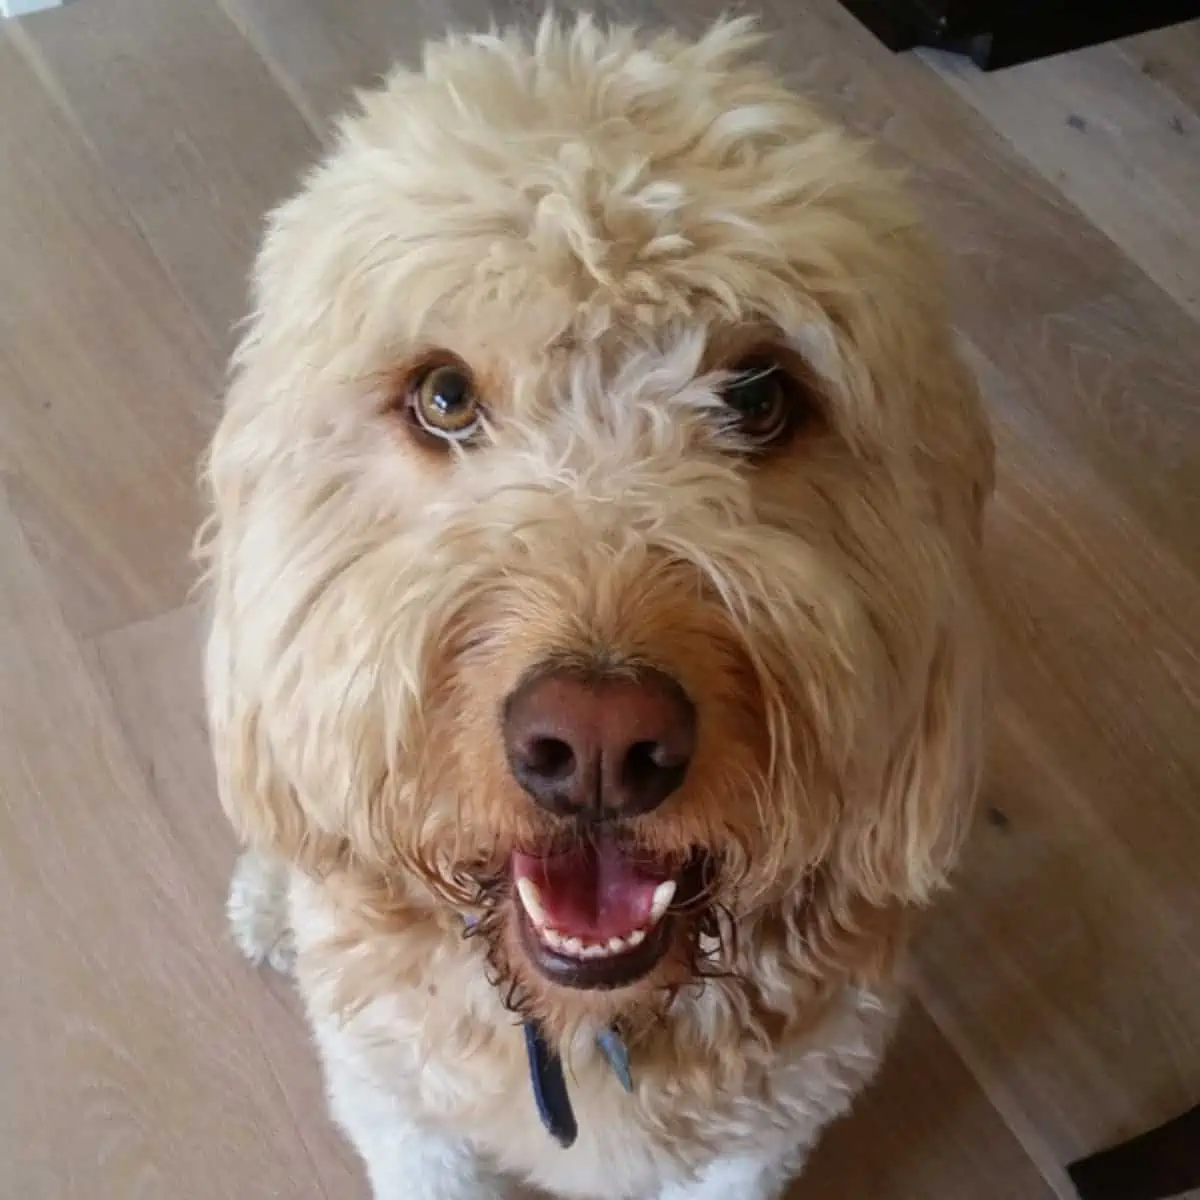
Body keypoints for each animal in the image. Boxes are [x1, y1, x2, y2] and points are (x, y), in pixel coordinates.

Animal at [201, 11, 993, 1200]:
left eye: (761, 397)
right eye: (443, 396)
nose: (599, 742)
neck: (586, 1022)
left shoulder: (766, 1131)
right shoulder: (404, 1112)